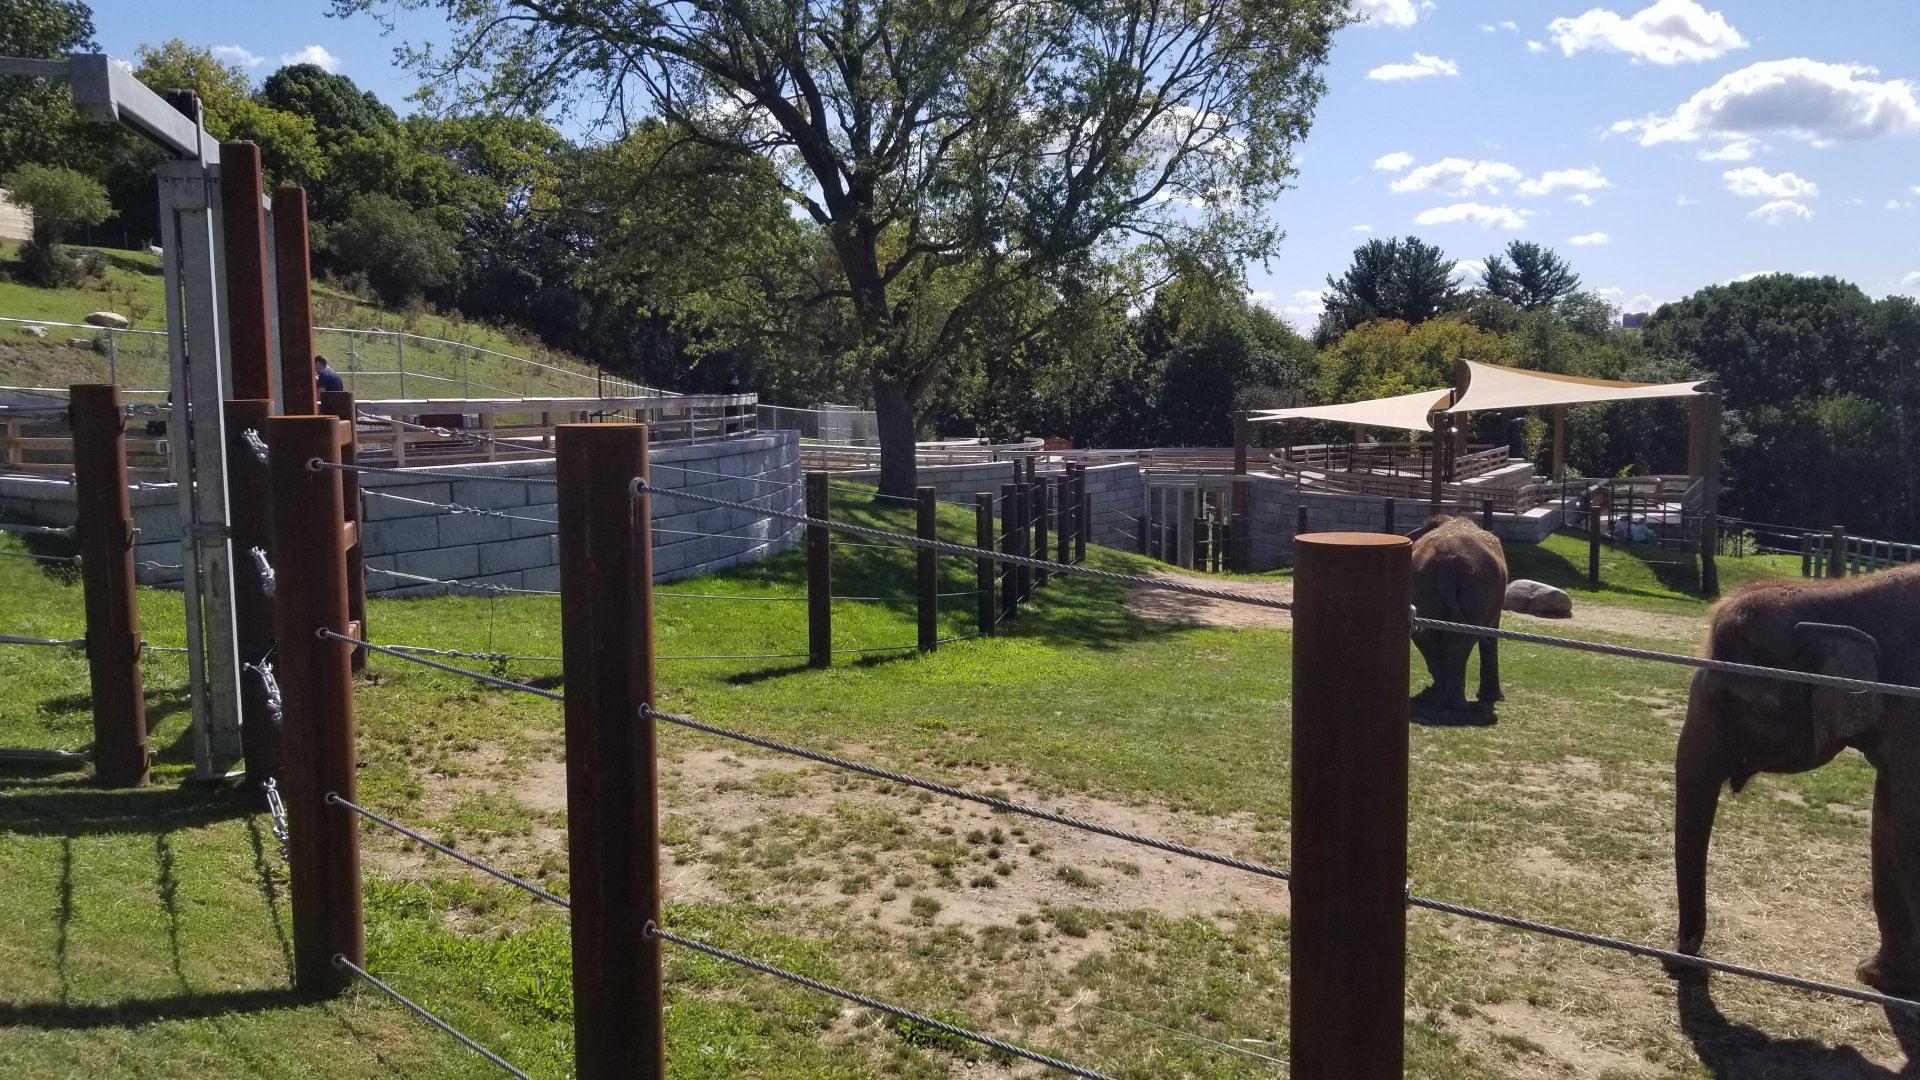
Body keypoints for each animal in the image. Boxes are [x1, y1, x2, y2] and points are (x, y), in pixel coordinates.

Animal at [1408, 515, 1507, 712]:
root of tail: (1445, 562)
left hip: (1423, 584)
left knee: (1425, 638)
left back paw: (1441, 698)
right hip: (1478, 587)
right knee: (1461, 640)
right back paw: (1456, 704)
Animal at [1671, 565, 1920, 994]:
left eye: (1725, 696)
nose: (1680, 961)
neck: (1843, 595)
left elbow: (1908, 832)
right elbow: (1886, 824)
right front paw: (1875, 976)